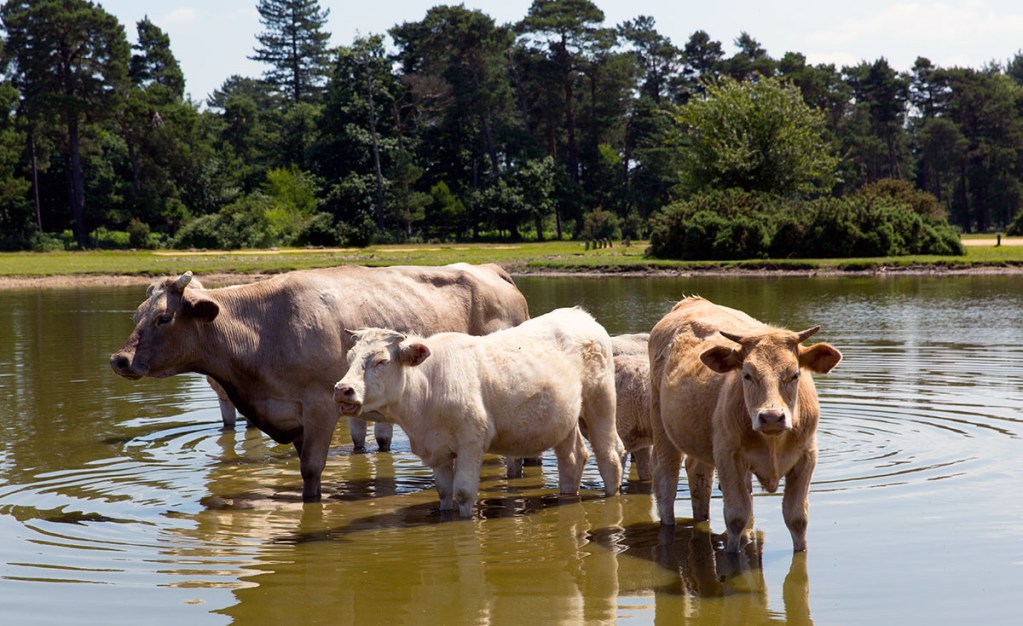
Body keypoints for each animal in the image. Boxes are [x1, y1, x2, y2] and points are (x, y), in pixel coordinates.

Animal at [110, 263, 530, 502]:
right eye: (137, 315)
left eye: (164, 318)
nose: (119, 359)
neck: (263, 330)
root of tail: (492, 269)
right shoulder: (289, 415)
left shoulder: (320, 405)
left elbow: (312, 468)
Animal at [332, 307, 625, 518]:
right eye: (350, 358)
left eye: (381, 361)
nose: (342, 389)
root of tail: (579, 314)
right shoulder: (437, 450)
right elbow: (443, 492)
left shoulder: (471, 442)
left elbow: (463, 493)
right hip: (563, 419)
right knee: (572, 458)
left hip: (601, 400)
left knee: (609, 457)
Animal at [648, 296, 841, 552]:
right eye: (747, 375)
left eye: (795, 374)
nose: (771, 417)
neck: (773, 442)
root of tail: (692, 300)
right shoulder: (728, 456)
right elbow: (737, 516)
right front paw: (732, 552)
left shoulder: (807, 455)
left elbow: (797, 518)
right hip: (661, 426)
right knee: (665, 479)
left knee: (698, 474)